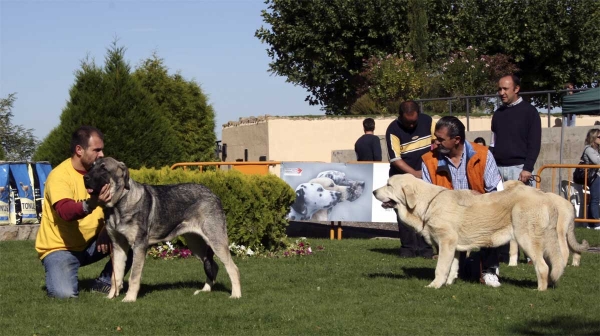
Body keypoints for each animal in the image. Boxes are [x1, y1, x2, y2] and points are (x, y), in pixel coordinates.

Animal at [84, 158, 241, 302]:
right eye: (91, 166)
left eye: (103, 169)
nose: (85, 177)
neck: (118, 204)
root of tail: (214, 195)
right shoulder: (118, 246)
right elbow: (115, 275)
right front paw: (111, 297)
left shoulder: (139, 245)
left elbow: (134, 276)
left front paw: (129, 299)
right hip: (196, 245)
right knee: (213, 265)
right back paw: (205, 290)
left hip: (216, 241)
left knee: (232, 268)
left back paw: (236, 295)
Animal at [376, 175, 576, 290]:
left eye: (388, 185)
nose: (373, 191)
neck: (428, 202)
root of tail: (545, 197)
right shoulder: (454, 246)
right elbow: (453, 267)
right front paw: (449, 284)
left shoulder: (446, 242)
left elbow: (440, 268)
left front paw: (434, 286)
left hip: (527, 239)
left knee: (543, 267)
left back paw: (539, 290)